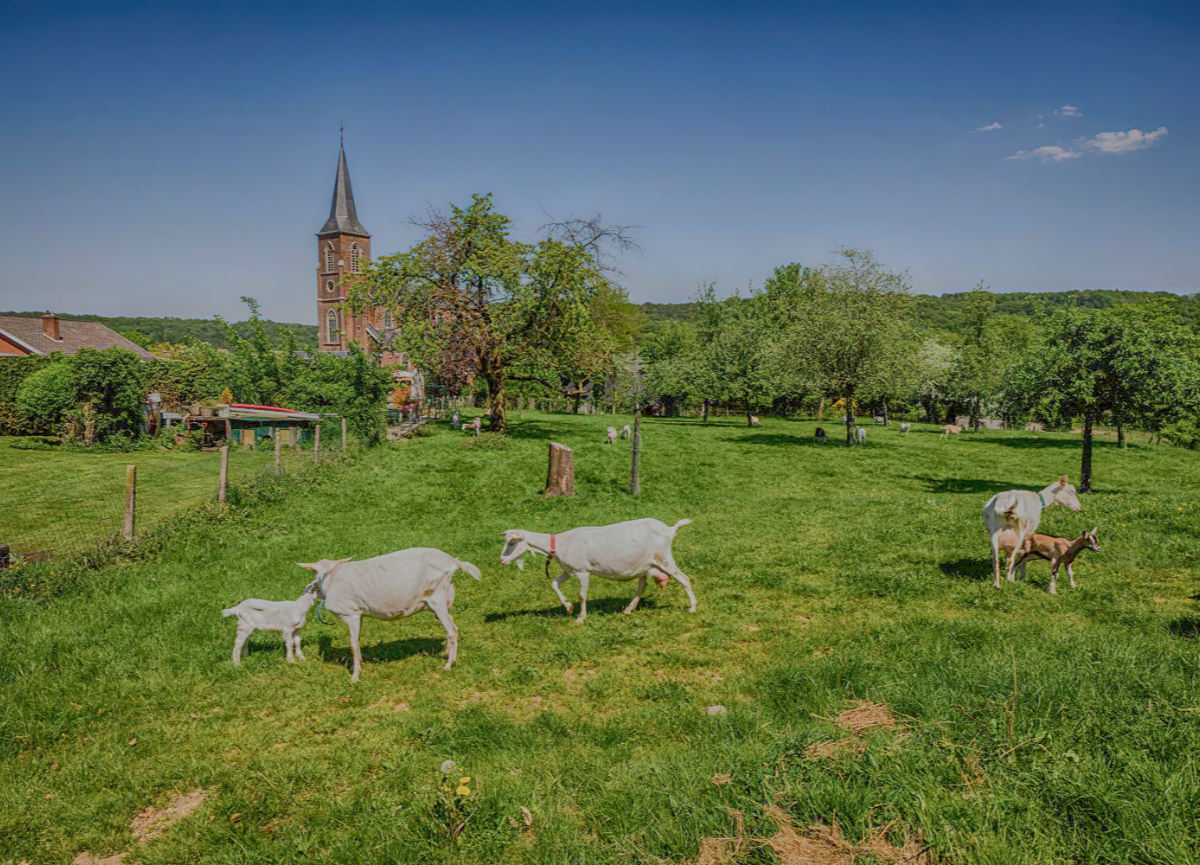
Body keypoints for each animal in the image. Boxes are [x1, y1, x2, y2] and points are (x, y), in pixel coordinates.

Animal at [300, 547, 482, 681]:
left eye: (313, 572)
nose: (311, 588)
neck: (330, 579)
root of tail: (453, 561)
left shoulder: (350, 613)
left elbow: (353, 644)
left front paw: (355, 677)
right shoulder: (359, 614)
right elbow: (358, 639)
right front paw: (358, 664)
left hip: (436, 597)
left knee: (452, 629)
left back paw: (448, 665)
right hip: (443, 598)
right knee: (450, 626)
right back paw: (446, 653)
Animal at [499, 515, 700, 623]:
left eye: (512, 542)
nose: (501, 560)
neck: (562, 543)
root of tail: (670, 529)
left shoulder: (582, 571)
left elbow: (582, 595)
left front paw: (580, 617)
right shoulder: (568, 570)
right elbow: (554, 584)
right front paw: (568, 607)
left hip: (663, 557)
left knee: (684, 578)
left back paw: (692, 608)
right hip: (646, 564)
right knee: (642, 586)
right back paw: (628, 609)